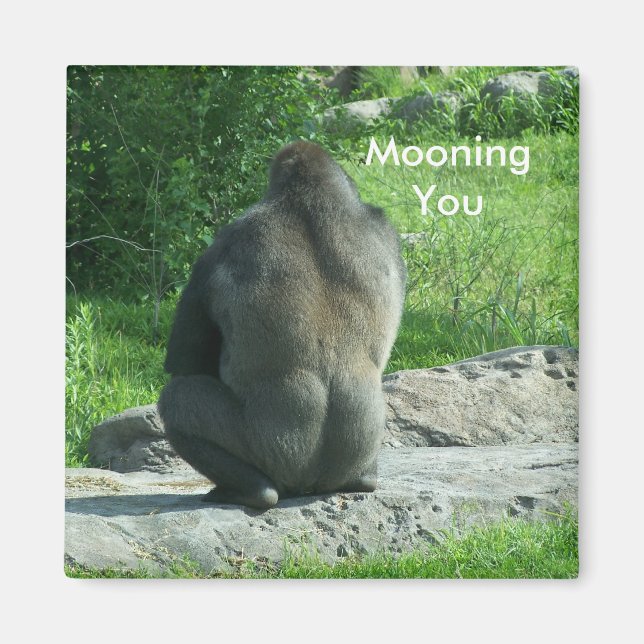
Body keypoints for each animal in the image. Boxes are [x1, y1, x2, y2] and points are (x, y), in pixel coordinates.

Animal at [158, 140, 406, 510]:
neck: (309, 200)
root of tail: (311, 483)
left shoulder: (220, 246)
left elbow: (184, 363)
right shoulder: (387, 228)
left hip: (274, 452)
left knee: (178, 399)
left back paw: (251, 491)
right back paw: (363, 479)